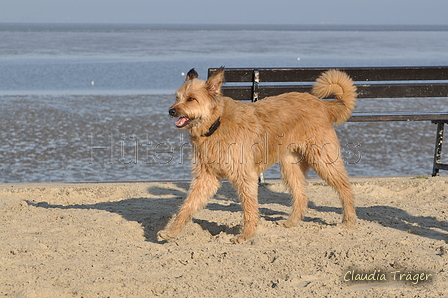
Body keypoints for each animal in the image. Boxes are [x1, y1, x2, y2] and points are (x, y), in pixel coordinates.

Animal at [158, 67, 356, 242]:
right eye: (177, 97)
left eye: (191, 99)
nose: (171, 111)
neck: (216, 124)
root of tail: (321, 103)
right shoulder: (206, 177)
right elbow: (187, 205)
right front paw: (172, 232)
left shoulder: (245, 176)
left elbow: (249, 207)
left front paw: (246, 235)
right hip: (290, 166)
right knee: (301, 196)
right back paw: (291, 222)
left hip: (323, 159)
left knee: (345, 187)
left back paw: (349, 220)